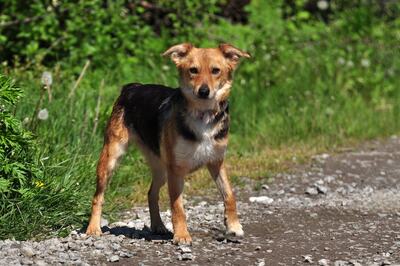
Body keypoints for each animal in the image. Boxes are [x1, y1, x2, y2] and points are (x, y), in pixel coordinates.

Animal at [85, 42, 250, 244]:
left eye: (215, 70)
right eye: (193, 70)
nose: (203, 91)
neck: (203, 116)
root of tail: (131, 87)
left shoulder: (216, 162)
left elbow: (229, 195)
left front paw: (233, 226)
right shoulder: (176, 170)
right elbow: (178, 206)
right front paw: (182, 235)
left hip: (161, 168)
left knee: (151, 193)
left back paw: (158, 226)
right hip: (111, 158)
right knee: (98, 197)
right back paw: (93, 228)